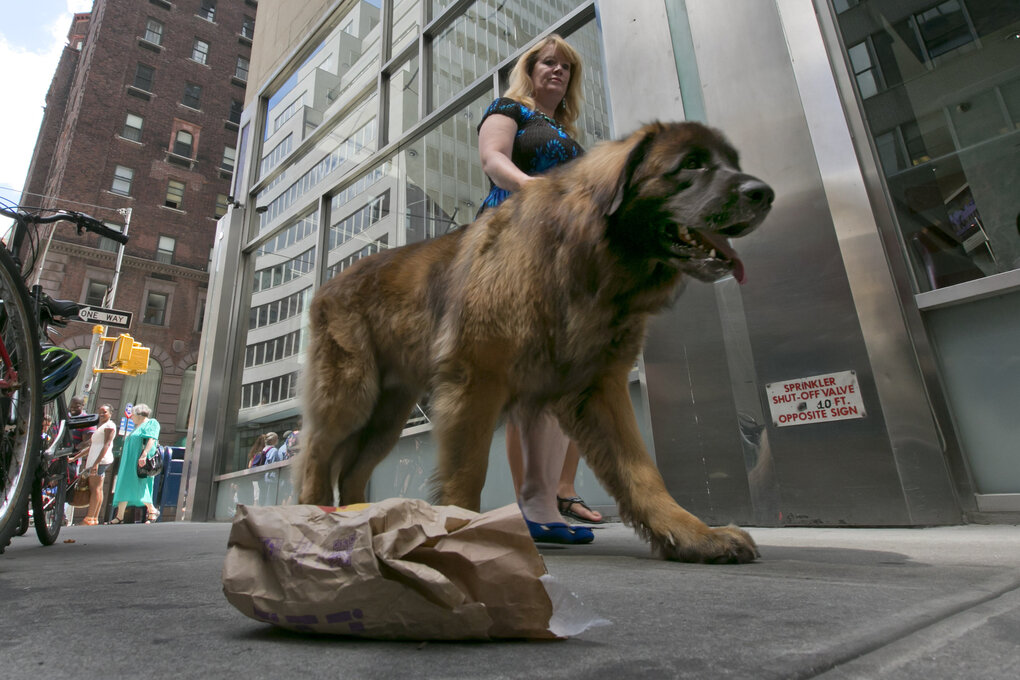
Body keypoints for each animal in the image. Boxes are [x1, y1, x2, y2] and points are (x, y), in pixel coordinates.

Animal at [297, 120, 775, 562]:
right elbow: (468, 473)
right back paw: (313, 517)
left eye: (733, 162)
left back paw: (360, 519)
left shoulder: (599, 387)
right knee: (317, 453)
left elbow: (641, 471)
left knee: (353, 468)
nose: (765, 193)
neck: (584, 261)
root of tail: (328, 284)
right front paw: (464, 539)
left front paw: (694, 535)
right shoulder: (475, 383)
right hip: (353, 394)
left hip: (389, 414)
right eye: (691, 164)